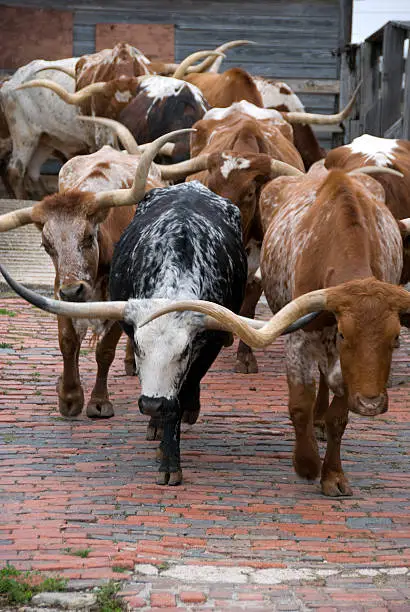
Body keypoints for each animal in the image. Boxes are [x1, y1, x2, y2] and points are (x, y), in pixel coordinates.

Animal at [143, 164, 408, 498]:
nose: (371, 404)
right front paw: (307, 464)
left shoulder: (350, 368)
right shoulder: (300, 340)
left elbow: (338, 418)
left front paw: (333, 475)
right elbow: (299, 406)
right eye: (345, 334)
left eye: (395, 338)